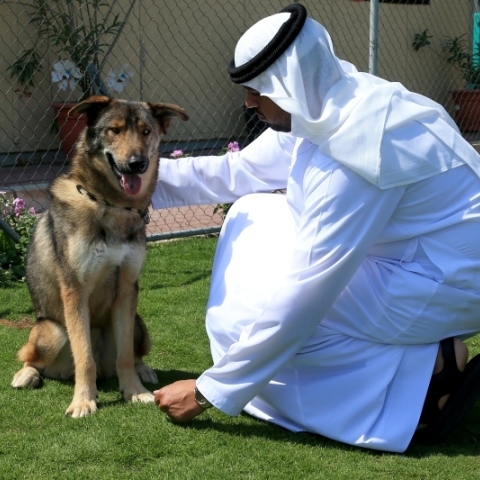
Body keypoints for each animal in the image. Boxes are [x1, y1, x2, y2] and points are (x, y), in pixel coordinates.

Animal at [10, 95, 188, 418]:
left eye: (146, 132)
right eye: (114, 130)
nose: (137, 164)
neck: (111, 205)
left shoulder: (128, 290)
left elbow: (126, 356)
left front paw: (133, 391)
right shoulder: (75, 291)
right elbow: (85, 357)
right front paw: (83, 401)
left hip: (139, 323)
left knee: (132, 354)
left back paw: (144, 371)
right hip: (52, 331)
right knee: (32, 358)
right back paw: (26, 375)